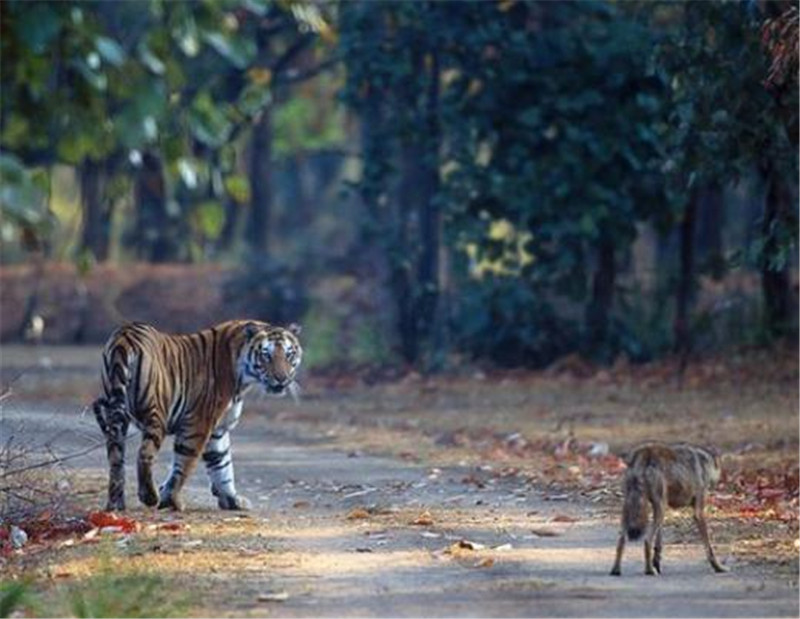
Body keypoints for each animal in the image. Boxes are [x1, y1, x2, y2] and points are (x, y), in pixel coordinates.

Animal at [91, 320, 304, 512]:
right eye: (266, 355)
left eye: (289, 354)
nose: (282, 379)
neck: (242, 378)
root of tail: (124, 338)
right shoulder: (198, 424)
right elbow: (184, 465)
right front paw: (172, 500)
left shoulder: (218, 429)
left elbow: (222, 464)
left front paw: (232, 500)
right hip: (155, 413)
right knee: (144, 454)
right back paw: (150, 496)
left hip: (116, 417)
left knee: (116, 460)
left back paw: (115, 505)